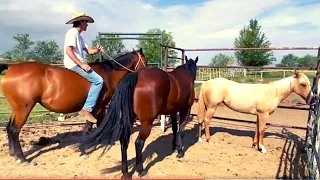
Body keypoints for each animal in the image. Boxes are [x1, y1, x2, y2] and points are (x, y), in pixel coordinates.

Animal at [0, 47, 147, 165]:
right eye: (144, 62)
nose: (145, 73)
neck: (108, 74)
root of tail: (12, 67)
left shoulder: (99, 108)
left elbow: (95, 125)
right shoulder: (98, 107)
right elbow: (90, 126)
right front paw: (84, 149)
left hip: (17, 109)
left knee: (9, 128)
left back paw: (14, 154)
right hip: (24, 109)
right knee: (14, 129)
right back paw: (22, 158)